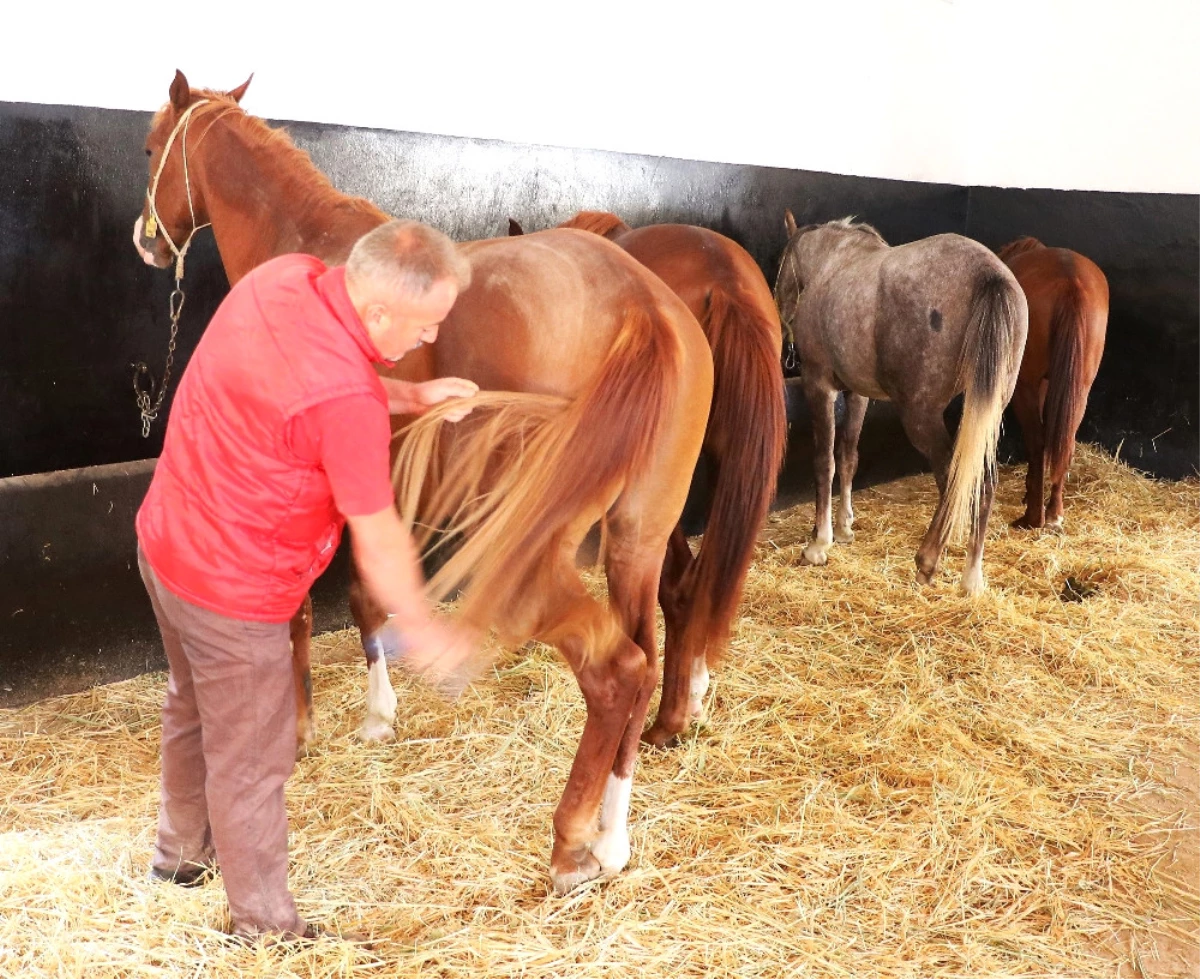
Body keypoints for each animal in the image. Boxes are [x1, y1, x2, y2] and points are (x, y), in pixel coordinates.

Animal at [133, 70, 710, 892]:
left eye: (151, 147)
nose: (147, 240)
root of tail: (644, 307)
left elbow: (327, 600)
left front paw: (337, 721)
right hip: (638, 535)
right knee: (647, 657)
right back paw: (612, 837)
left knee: (616, 670)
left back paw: (569, 844)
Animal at [772, 214, 1027, 592]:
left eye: (779, 267)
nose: (782, 341)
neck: (832, 264)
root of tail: (989, 273)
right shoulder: (857, 393)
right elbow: (848, 457)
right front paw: (844, 528)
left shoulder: (819, 386)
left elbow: (824, 462)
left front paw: (820, 543)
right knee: (982, 482)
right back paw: (971, 576)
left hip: (920, 415)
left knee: (952, 478)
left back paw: (929, 561)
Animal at [993, 237, 1104, 527]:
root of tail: (1070, 281)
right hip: (1079, 388)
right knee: (1065, 440)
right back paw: (1053, 512)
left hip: (1025, 387)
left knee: (1038, 441)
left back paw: (1034, 517)